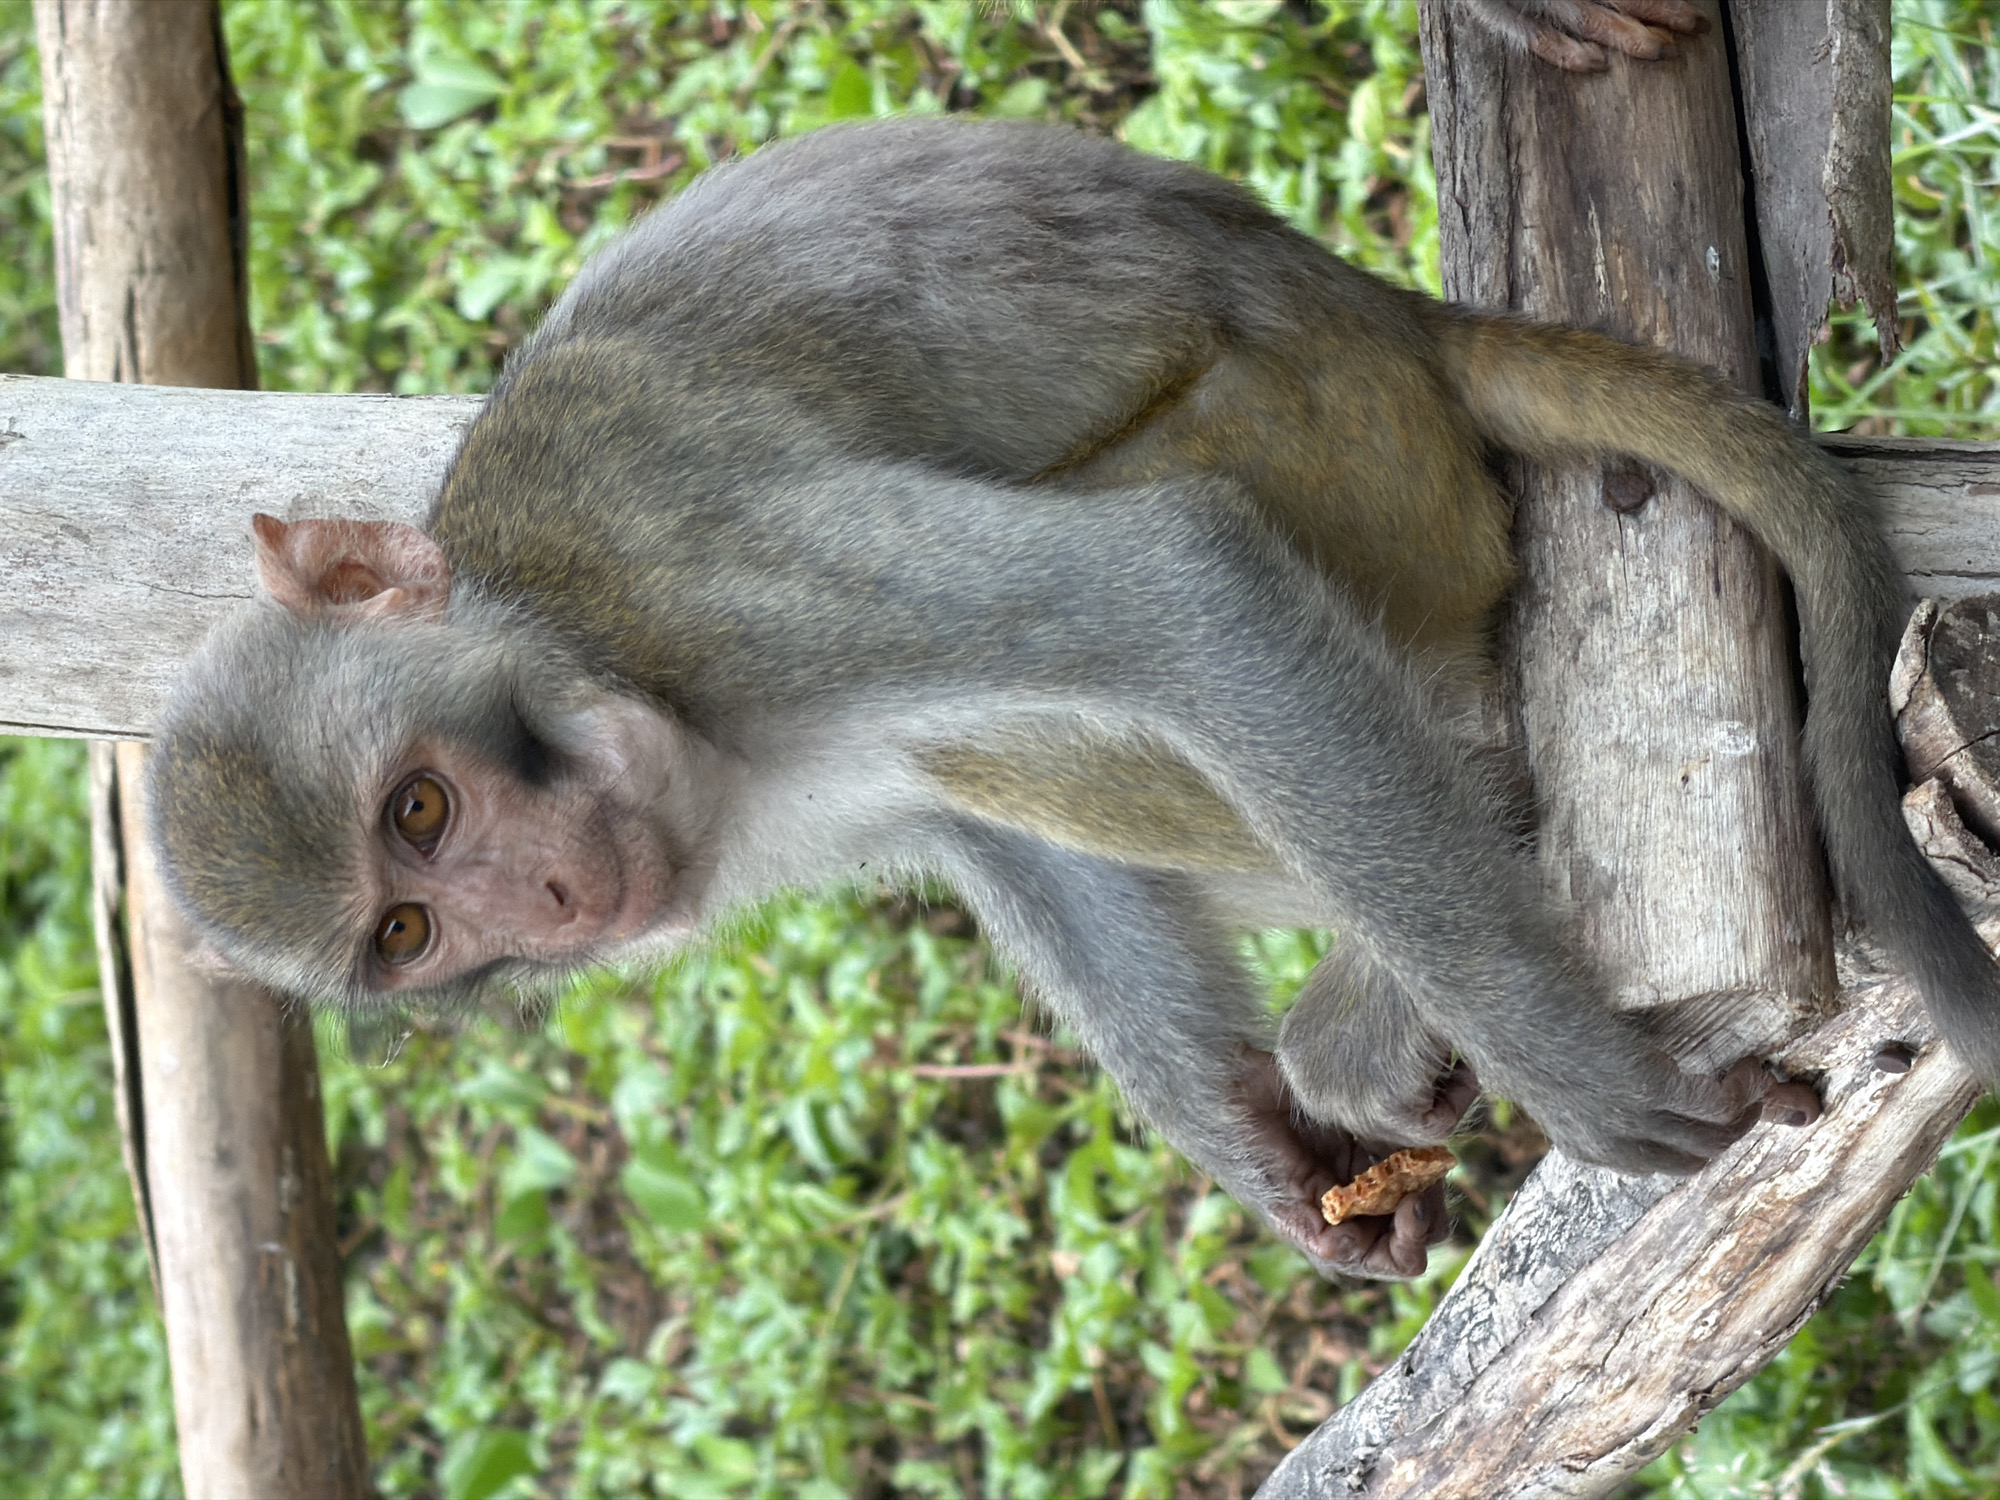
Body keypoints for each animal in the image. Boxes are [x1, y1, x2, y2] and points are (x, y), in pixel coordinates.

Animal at [147, 118, 1980, 1282]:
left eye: (421, 806)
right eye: (406, 931)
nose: (544, 901)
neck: (573, 645)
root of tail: (1376, 308)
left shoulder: (706, 571)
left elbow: (1172, 592)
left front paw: (1573, 1068)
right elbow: (981, 827)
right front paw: (1255, 1149)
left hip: (1341, 449)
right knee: (985, 750)